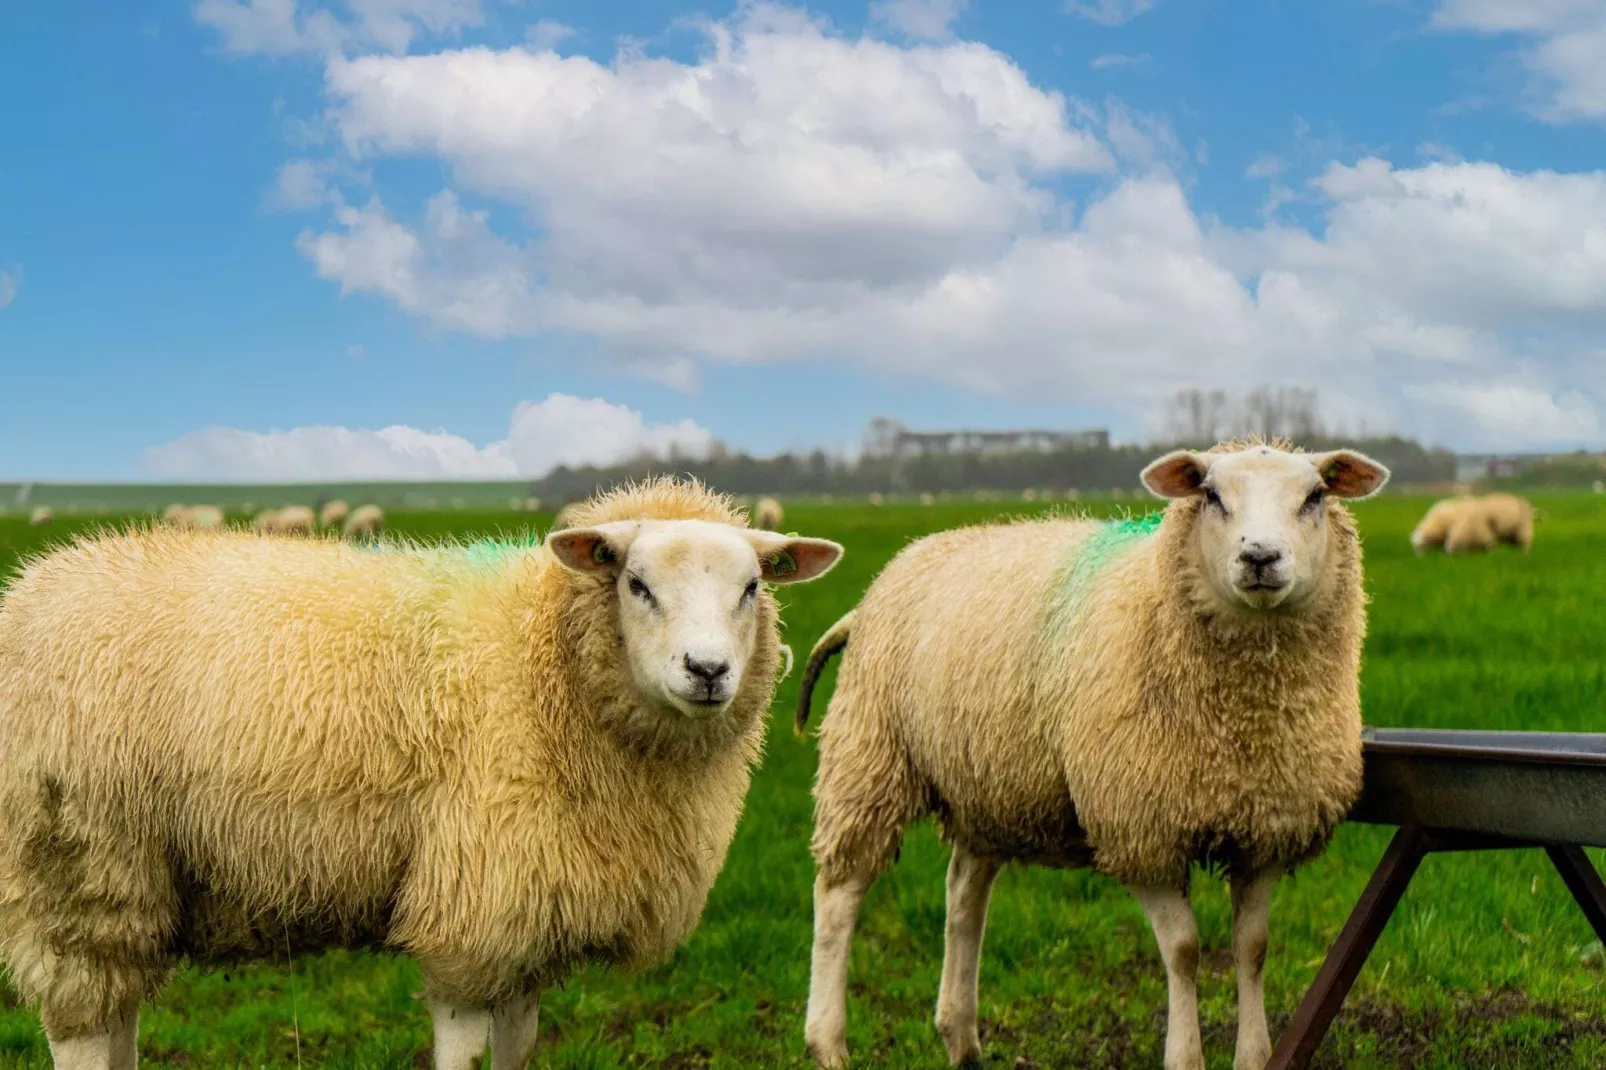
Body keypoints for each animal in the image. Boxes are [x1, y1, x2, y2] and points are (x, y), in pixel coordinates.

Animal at [0, 475, 847, 1066]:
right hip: (73, 864)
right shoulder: (472, 907)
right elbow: (464, 1051)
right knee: (82, 1028)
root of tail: (28, 589)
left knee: (120, 1017)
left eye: (752, 588)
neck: (546, 662)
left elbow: (518, 1050)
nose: (708, 671)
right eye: (636, 584)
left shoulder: (527, 910)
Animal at [796, 436, 1387, 1066]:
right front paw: (1184, 1056)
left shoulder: (1266, 832)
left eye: (1315, 496)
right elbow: (1184, 950)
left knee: (964, 894)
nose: (1260, 556)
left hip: (985, 781)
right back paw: (828, 1041)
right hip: (869, 753)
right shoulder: (1139, 828)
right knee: (840, 893)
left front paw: (1254, 1055)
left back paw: (961, 1034)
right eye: (1210, 495)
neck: (1239, 731)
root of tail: (905, 559)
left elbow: (1251, 947)